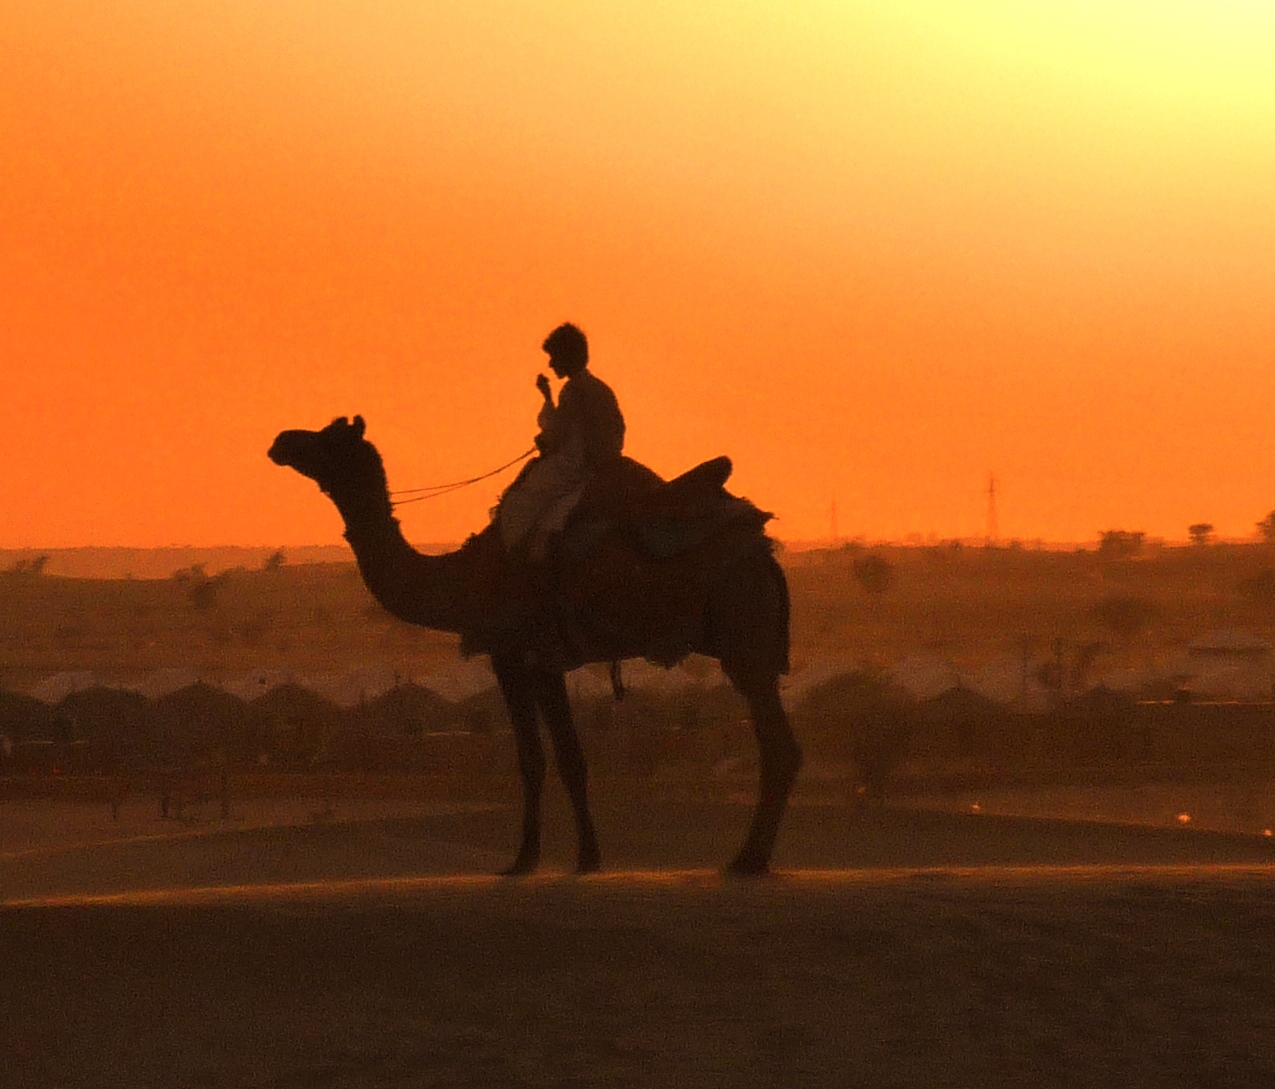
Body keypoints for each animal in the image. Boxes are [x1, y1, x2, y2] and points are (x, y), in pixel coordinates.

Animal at [270, 418, 800, 877]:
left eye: (329, 439)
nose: (282, 441)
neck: (464, 578)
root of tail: (765, 555)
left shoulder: (522, 653)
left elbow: (548, 759)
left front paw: (544, 859)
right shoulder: (533, 659)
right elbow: (557, 758)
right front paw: (570, 856)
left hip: (743, 635)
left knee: (777, 746)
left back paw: (747, 859)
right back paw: (751, 856)